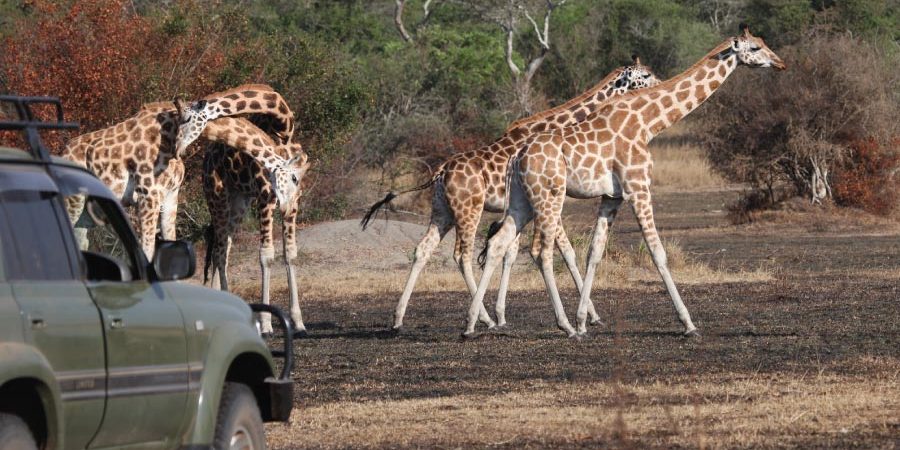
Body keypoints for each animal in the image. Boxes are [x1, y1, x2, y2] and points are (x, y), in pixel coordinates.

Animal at [199, 116, 312, 334]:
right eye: (272, 177)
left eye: (296, 179)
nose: (282, 204)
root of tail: (206, 158)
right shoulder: (265, 200)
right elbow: (266, 255)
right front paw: (266, 323)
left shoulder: (293, 206)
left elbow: (290, 253)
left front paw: (298, 321)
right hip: (217, 199)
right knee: (220, 252)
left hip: (239, 203)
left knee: (221, 249)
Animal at [360, 56, 660, 330]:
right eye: (645, 75)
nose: (659, 86)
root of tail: (440, 172)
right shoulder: (545, 203)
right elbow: (565, 251)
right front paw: (590, 316)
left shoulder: (522, 209)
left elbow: (510, 253)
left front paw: (504, 314)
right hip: (468, 209)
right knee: (462, 255)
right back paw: (482, 318)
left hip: (442, 210)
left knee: (423, 249)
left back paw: (398, 319)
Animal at [468, 22, 784, 336]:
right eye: (755, 47)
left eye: (763, 42)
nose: (780, 63)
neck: (648, 122)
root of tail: (517, 156)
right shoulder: (639, 186)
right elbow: (657, 252)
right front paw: (688, 323)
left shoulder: (612, 196)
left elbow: (594, 252)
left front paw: (584, 319)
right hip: (549, 196)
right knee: (539, 250)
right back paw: (562, 325)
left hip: (521, 201)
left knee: (498, 244)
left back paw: (475, 322)